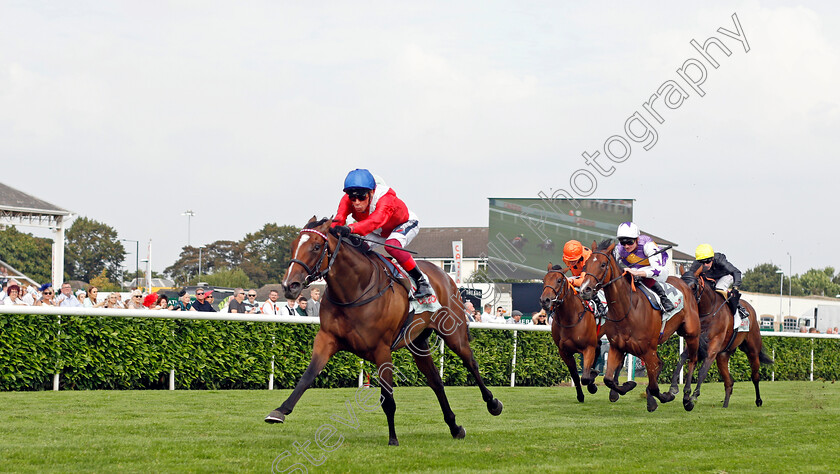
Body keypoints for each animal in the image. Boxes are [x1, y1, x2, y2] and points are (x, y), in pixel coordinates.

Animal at [266, 217, 502, 446]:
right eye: (293, 246)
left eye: (316, 247)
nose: (290, 286)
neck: (354, 290)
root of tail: (444, 275)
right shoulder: (327, 339)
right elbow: (307, 376)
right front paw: (279, 411)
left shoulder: (382, 350)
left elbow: (387, 397)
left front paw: (393, 439)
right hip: (418, 342)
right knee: (435, 380)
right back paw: (454, 427)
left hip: (453, 332)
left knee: (470, 362)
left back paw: (493, 403)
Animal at [540, 264, 600, 402]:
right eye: (544, 280)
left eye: (559, 280)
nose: (545, 300)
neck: (570, 319)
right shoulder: (564, 352)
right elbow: (576, 376)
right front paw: (580, 395)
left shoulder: (588, 348)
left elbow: (585, 377)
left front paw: (592, 385)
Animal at [576, 241, 704, 412]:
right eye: (586, 265)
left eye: (603, 265)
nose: (585, 290)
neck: (628, 309)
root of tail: (686, 286)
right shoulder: (617, 347)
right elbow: (608, 379)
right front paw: (627, 386)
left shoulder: (647, 349)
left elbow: (655, 387)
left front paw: (665, 396)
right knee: (661, 364)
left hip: (691, 334)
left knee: (692, 360)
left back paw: (687, 398)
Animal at [676, 268, 776, 410]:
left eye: (694, 286)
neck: (707, 312)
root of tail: (750, 308)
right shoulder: (696, 345)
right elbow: (686, 363)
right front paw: (681, 394)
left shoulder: (712, 348)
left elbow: (702, 371)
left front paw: (693, 397)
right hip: (723, 355)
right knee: (729, 381)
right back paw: (725, 404)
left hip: (752, 350)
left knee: (755, 376)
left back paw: (758, 400)